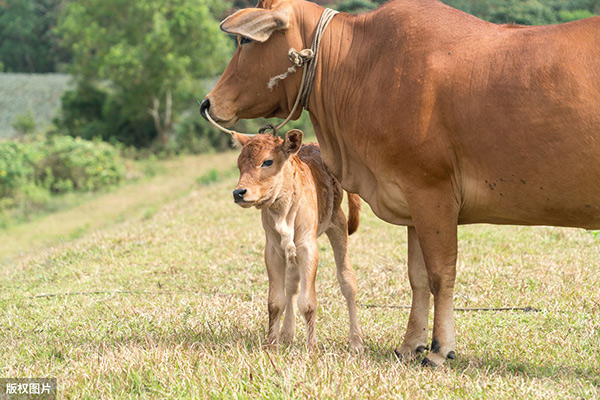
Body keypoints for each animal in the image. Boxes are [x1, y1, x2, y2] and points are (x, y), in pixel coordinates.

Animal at [232, 130, 364, 352]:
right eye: (239, 164)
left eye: (268, 161)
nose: (238, 192)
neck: (283, 210)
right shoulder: (273, 250)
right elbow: (276, 300)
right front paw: (271, 344)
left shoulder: (308, 248)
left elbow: (308, 302)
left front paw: (312, 348)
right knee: (292, 285)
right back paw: (287, 334)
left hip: (338, 222)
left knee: (347, 281)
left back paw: (356, 341)